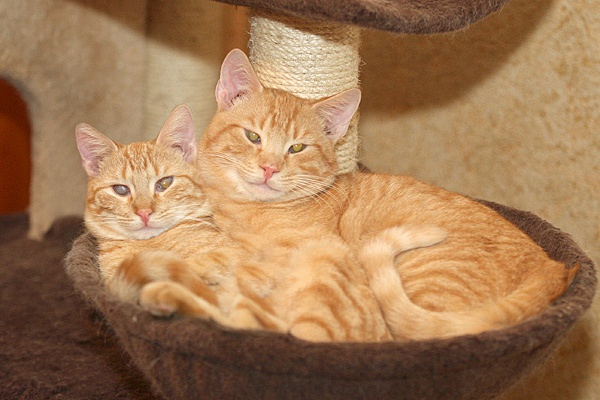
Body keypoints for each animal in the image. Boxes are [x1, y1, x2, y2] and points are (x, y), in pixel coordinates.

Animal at [195, 48, 578, 341]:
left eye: (297, 148)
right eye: (253, 136)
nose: (269, 169)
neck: (247, 210)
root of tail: (552, 268)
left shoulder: (301, 252)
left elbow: (244, 273)